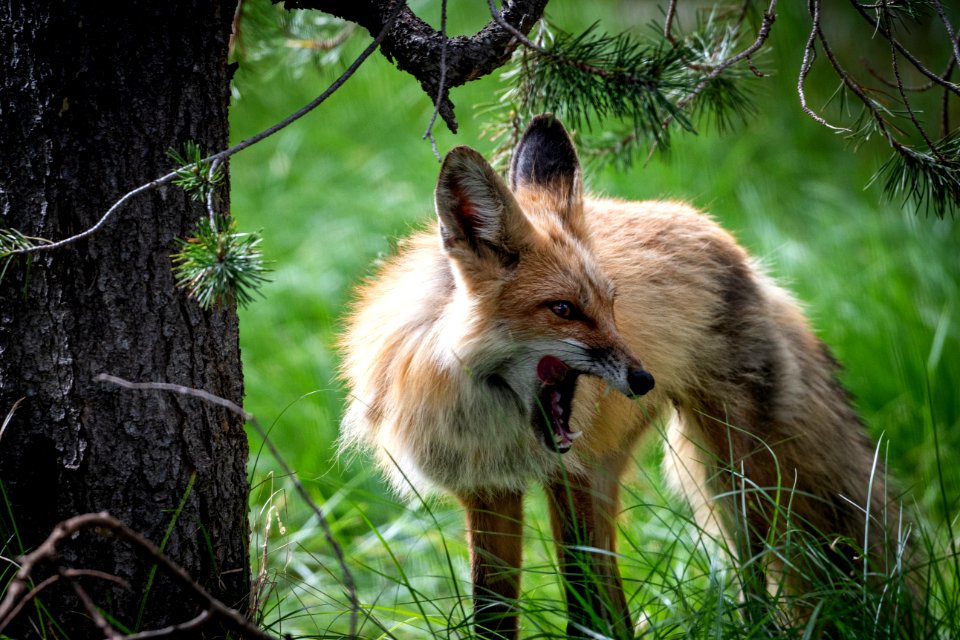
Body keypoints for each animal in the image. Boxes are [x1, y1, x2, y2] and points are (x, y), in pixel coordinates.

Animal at [338, 116, 916, 640]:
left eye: (610, 304)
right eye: (564, 309)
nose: (643, 379)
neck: (490, 419)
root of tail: (738, 251)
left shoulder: (567, 475)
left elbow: (580, 603)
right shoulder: (488, 490)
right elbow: (495, 615)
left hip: (732, 481)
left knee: (754, 575)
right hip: (622, 471)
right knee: (617, 601)